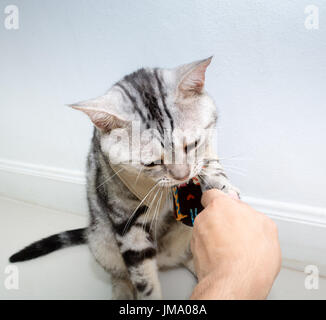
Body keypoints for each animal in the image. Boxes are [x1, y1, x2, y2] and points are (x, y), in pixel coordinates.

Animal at [9, 57, 239, 300]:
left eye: (192, 145)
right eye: (151, 163)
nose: (181, 175)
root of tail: (164, 258)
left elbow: (210, 164)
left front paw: (224, 186)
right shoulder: (130, 230)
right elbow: (144, 281)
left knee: (185, 257)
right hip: (102, 243)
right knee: (120, 274)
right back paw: (123, 292)